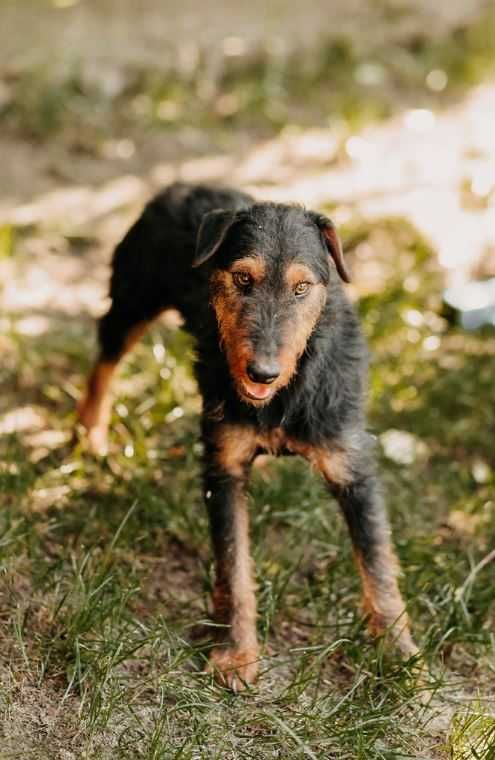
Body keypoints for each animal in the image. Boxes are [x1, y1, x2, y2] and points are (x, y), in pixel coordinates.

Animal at [78, 183, 418, 688]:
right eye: (242, 279)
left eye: (302, 287)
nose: (262, 372)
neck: (287, 392)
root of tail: (180, 185)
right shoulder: (223, 470)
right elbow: (234, 566)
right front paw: (236, 654)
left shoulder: (352, 468)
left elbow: (377, 565)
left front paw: (399, 656)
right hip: (133, 297)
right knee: (106, 357)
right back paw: (90, 433)